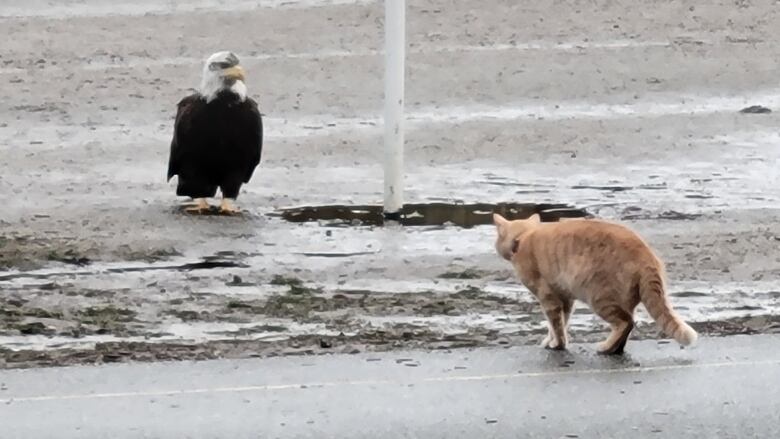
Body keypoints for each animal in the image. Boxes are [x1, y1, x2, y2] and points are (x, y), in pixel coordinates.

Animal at [490, 213, 696, 354]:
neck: (524, 237)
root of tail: (647, 257)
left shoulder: (548, 297)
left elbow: (556, 325)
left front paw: (557, 344)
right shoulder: (565, 298)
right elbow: (561, 323)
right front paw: (551, 340)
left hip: (598, 297)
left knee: (625, 323)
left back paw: (606, 347)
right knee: (629, 324)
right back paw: (615, 349)